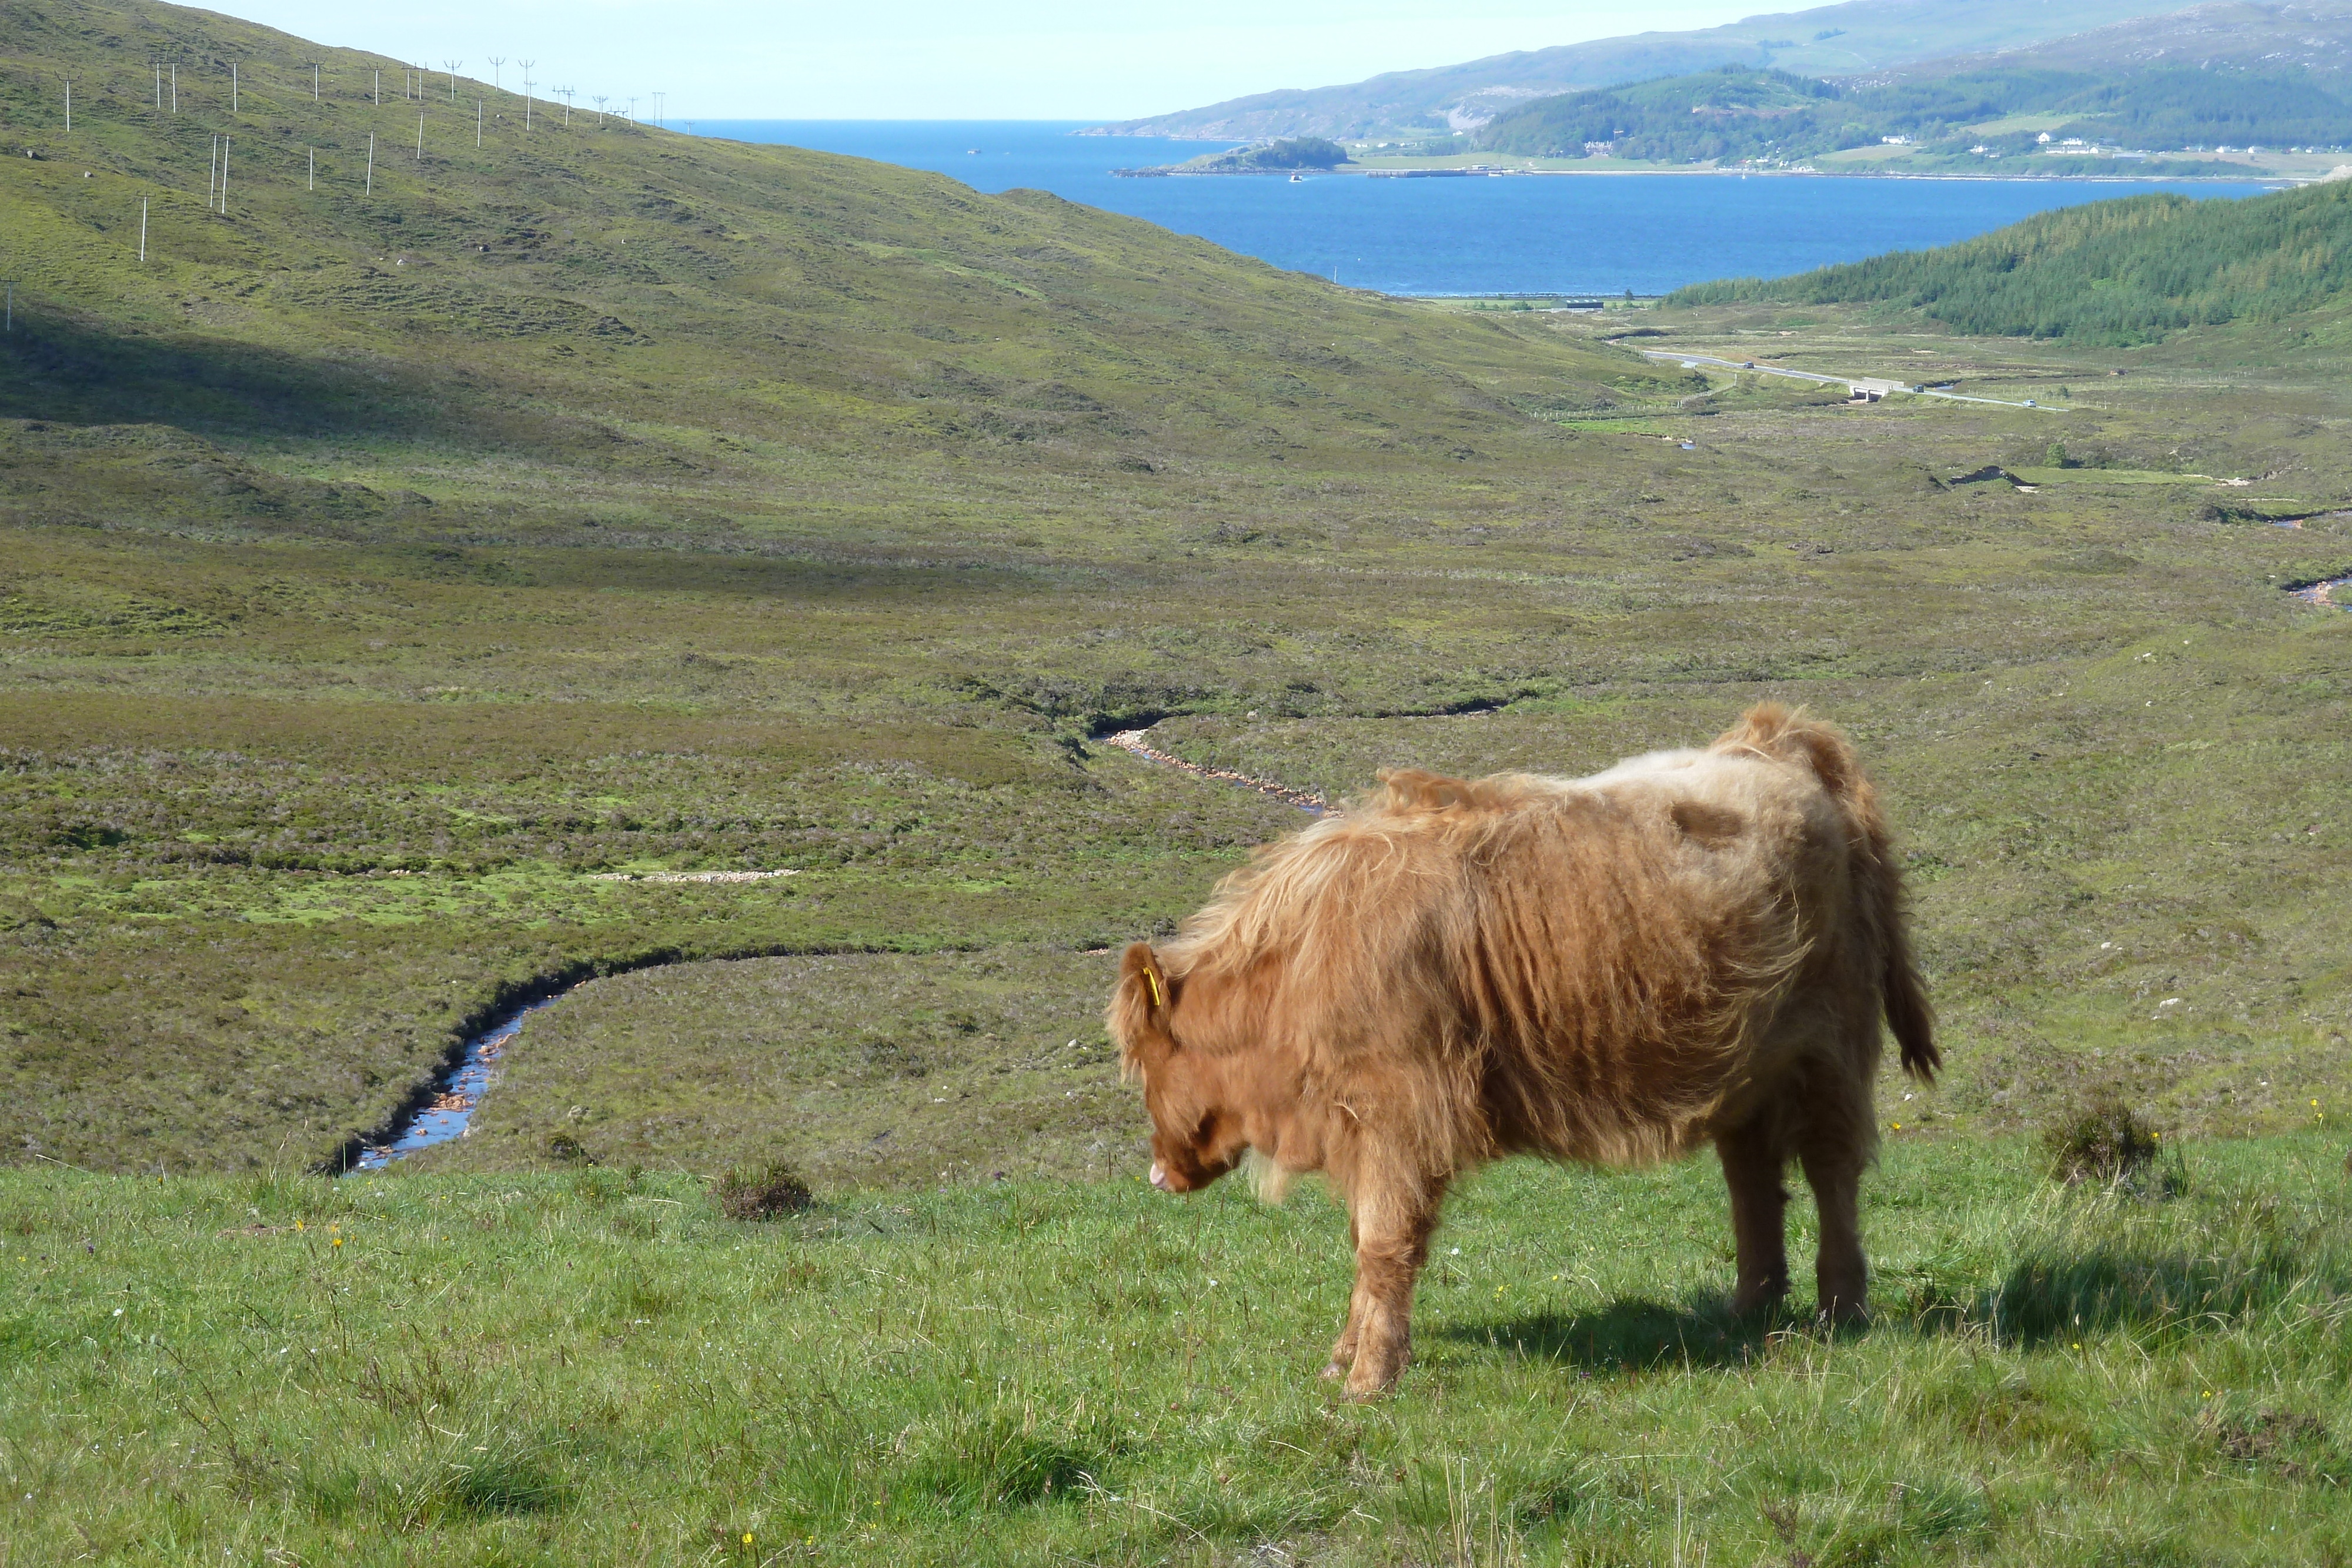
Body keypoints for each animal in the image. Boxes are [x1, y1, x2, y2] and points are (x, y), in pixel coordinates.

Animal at [1110, 710, 1938, 1401]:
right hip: (1749, 1071)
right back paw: (1749, 1309)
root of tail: (1772, 740)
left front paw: (1368, 1383)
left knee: (1830, 1174)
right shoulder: (1365, 1130)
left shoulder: (1401, 1118)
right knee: (1753, 1180)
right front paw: (1344, 1359)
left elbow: (1382, 1247)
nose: (1155, 1174)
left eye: (1144, 1064)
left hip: (1829, 1051)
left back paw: (1840, 1309)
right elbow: (1363, 1246)